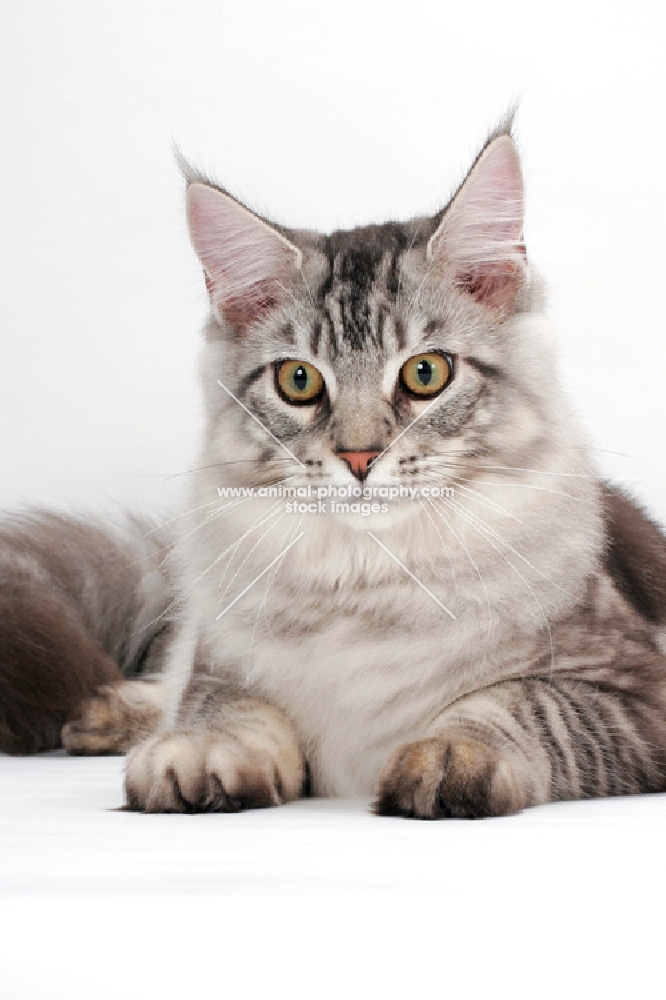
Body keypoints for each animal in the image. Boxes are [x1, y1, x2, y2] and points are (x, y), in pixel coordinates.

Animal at [1, 123, 664, 820]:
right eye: (299, 380)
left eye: (426, 372)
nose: (359, 457)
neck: (366, 582)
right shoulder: (224, 659)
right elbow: (222, 706)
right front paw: (199, 754)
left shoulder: (631, 690)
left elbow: (517, 704)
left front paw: (451, 755)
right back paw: (109, 713)